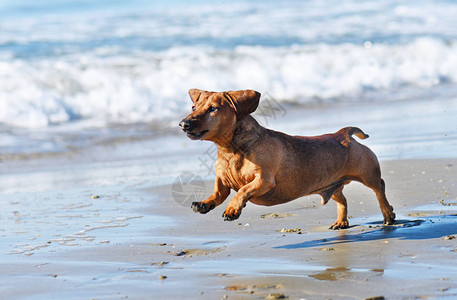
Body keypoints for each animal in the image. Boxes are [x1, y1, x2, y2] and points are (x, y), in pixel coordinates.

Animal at [180, 88, 394, 229]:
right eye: (193, 106)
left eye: (213, 109)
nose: (183, 124)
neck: (230, 151)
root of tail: (343, 134)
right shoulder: (222, 181)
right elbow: (218, 194)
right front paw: (204, 203)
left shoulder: (264, 180)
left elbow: (243, 190)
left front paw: (233, 209)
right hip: (331, 184)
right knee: (342, 199)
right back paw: (341, 222)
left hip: (368, 175)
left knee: (380, 188)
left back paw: (388, 214)